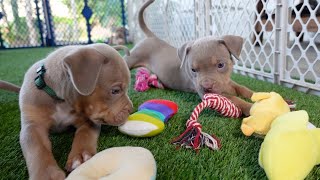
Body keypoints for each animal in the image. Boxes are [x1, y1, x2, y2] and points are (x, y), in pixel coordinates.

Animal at [16, 43, 132, 179]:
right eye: (115, 91)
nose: (131, 109)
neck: (62, 101)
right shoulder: (32, 126)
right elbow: (38, 147)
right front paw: (46, 174)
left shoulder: (89, 121)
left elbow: (84, 134)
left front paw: (80, 157)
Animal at [126, 0, 254, 115]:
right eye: (193, 70)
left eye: (221, 65)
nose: (207, 87)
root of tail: (152, 37)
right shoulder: (211, 95)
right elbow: (236, 99)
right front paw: (250, 107)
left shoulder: (227, 81)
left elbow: (242, 88)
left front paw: (255, 94)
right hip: (132, 58)